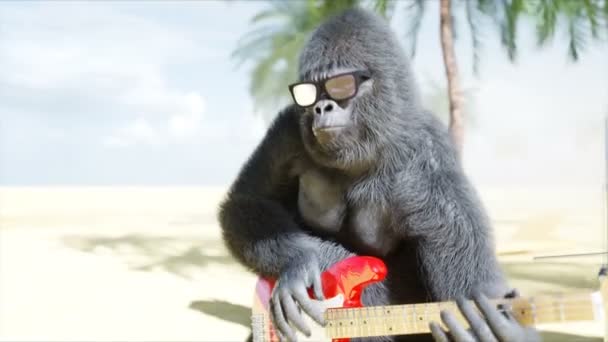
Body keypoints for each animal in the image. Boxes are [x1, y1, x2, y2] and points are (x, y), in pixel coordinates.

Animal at [218, 6, 536, 340]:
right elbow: (247, 200)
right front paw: (300, 262)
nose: (321, 108)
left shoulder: (430, 156)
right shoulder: (288, 128)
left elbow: (473, 282)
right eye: (308, 94)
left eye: (340, 86)